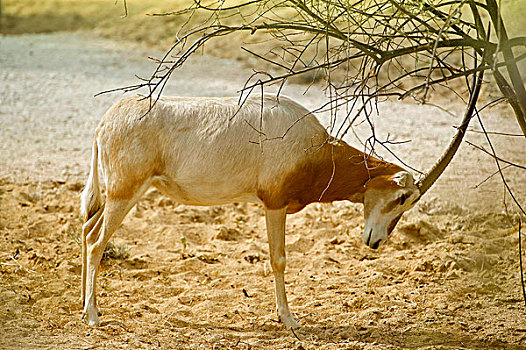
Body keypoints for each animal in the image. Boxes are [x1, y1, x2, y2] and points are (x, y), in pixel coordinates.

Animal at [81, 93, 446, 328]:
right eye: (403, 197)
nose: (375, 241)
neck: (314, 149)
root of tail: (106, 123)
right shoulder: (274, 203)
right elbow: (279, 258)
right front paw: (288, 319)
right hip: (125, 193)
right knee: (97, 242)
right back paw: (93, 317)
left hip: (122, 195)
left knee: (87, 232)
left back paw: (85, 309)